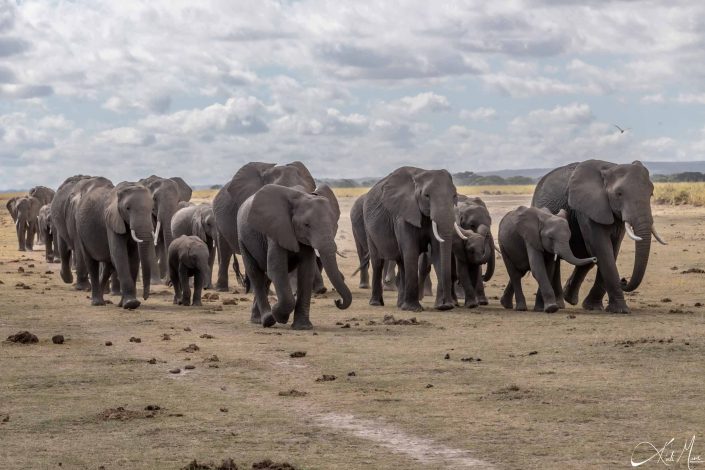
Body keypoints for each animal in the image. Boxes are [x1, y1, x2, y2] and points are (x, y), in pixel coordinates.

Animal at [75, 179, 156, 308]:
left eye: (152, 208)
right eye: (127, 208)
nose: (145, 297)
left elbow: (133, 258)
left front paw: (124, 304)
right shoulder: (111, 221)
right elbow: (119, 255)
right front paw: (131, 304)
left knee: (108, 266)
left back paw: (102, 300)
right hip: (80, 230)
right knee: (91, 263)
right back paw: (97, 303)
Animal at [238, 184, 350, 330]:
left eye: (334, 224)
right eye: (307, 225)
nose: (337, 300)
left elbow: (306, 271)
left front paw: (303, 327)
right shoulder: (277, 229)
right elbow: (277, 270)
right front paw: (279, 316)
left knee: (266, 277)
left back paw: (258, 320)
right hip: (242, 239)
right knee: (256, 274)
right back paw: (267, 320)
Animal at [364, 166, 462, 312]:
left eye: (454, 196)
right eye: (426, 196)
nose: (447, 304)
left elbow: (437, 251)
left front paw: (443, 306)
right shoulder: (403, 214)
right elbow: (411, 251)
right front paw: (414, 309)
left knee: (401, 262)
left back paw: (400, 305)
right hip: (369, 229)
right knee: (378, 262)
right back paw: (376, 303)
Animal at [532, 160, 664, 314]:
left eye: (651, 194)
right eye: (619, 194)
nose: (623, 280)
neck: (610, 167)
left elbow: (612, 249)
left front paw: (594, 307)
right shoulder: (587, 209)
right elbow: (602, 248)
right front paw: (621, 310)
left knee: (587, 257)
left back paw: (569, 298)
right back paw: (559, 303)